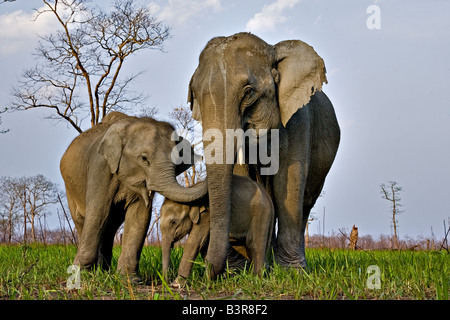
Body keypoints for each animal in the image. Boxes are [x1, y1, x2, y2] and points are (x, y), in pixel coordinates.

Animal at [60, 112, 207, 276]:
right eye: (144, 158)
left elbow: (140, 215)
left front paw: (128, 278)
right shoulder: (100, 167)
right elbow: (98, 211)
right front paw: (82, 276)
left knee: (109, 227)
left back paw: (104, 273)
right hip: (70, 188)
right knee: (83, 221)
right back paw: (93, 273)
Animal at [188, 33, 340, 278]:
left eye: (249, 93)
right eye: (194, 96)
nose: (210, 272)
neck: (272, 50)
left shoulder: (298, 118)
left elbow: (289, 181)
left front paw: (292, 273)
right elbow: (243, 175)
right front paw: (239, 270)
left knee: (305, 203)